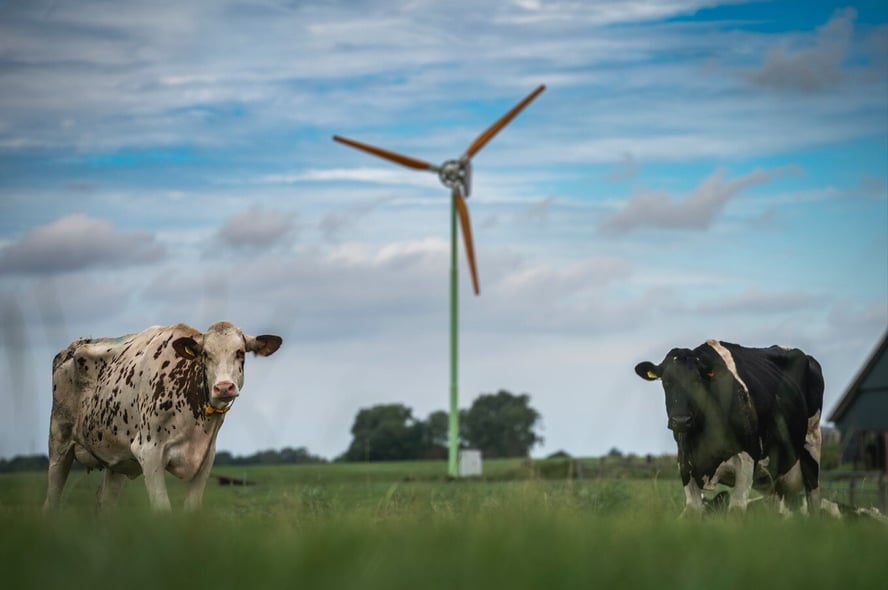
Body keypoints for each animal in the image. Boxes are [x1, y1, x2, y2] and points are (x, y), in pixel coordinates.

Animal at [44, 322, 280, 512]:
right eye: (206, 354)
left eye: (240, 352)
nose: (223, 387)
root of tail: (75, 345)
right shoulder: (149, 453)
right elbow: (162, 510)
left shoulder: (205, 460)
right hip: (59, 446)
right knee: (51, 501)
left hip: (115, 460)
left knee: (105, 505)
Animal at [636, 342, 824, 520]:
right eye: (666, 382)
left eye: (697, 381)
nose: (681, 420)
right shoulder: (684, 461)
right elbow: (693, 509)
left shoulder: (748, 458)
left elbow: (736, 510)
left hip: (812, 445)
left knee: (814, 499)